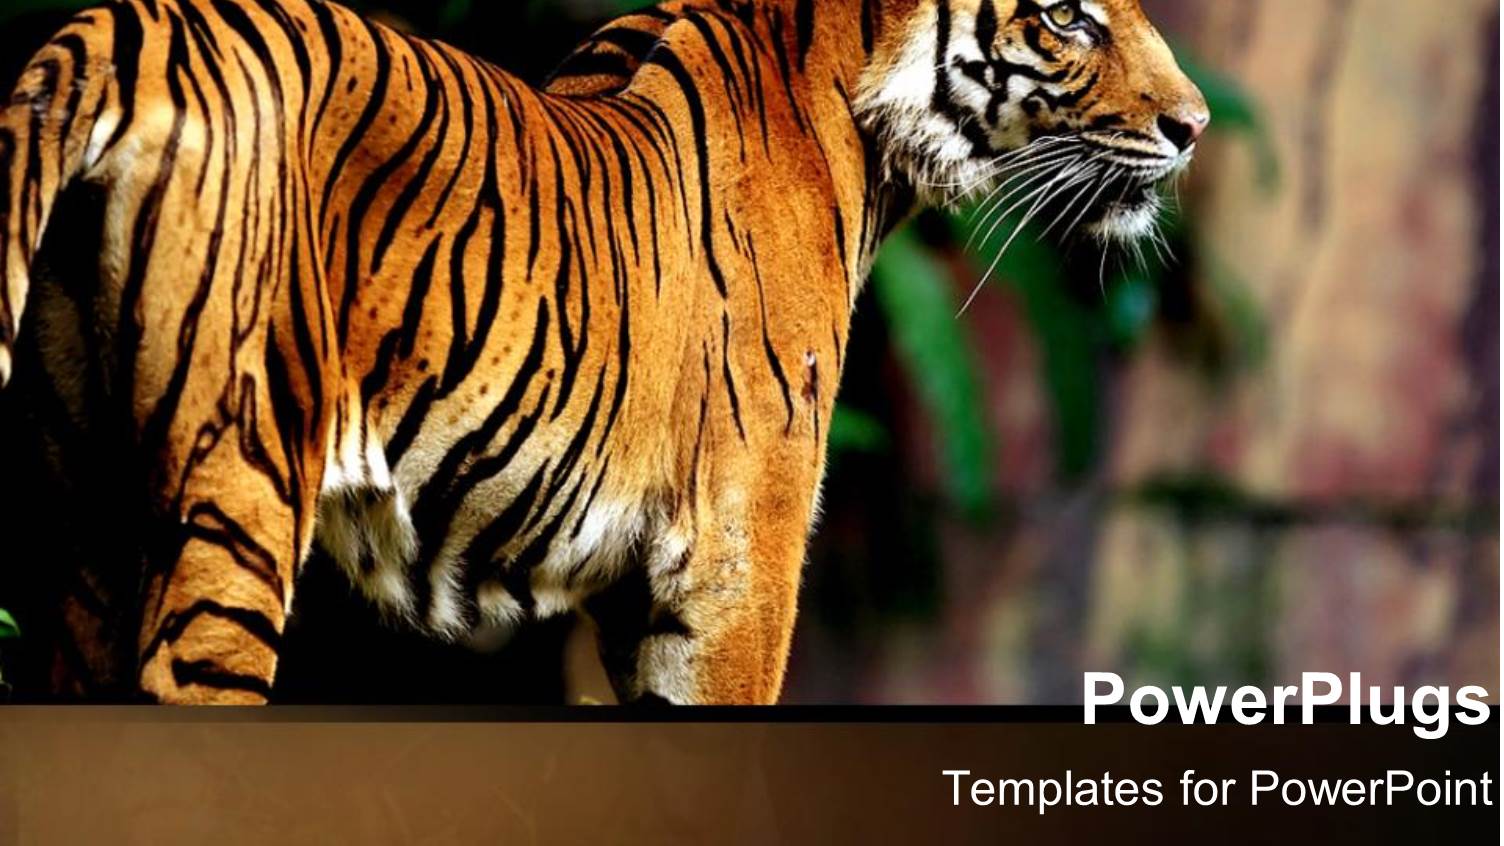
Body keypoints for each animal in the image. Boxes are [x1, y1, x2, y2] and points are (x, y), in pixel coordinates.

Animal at [0, 0, 1207, 704]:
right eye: (1065, 14)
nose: (1193, 125)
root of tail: (123, 34)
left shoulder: (624, 591)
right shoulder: (739, 549)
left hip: (79, 514)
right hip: (233, 490)